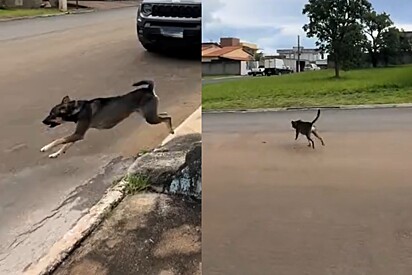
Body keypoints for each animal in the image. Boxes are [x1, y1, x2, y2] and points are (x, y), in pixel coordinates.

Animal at [42, 80, 175, 158]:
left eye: (52, 114)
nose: (42, 121)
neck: (76, 108)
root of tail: (148, 89)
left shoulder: (78, 134)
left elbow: (59, 140)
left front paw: (46, 147)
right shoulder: (78, 134)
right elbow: (66, 144)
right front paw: (56, 153)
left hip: (150, 118)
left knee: (167, 118)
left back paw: (171, 131)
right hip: (147, 114)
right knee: (163, 115)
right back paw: (166, 116)